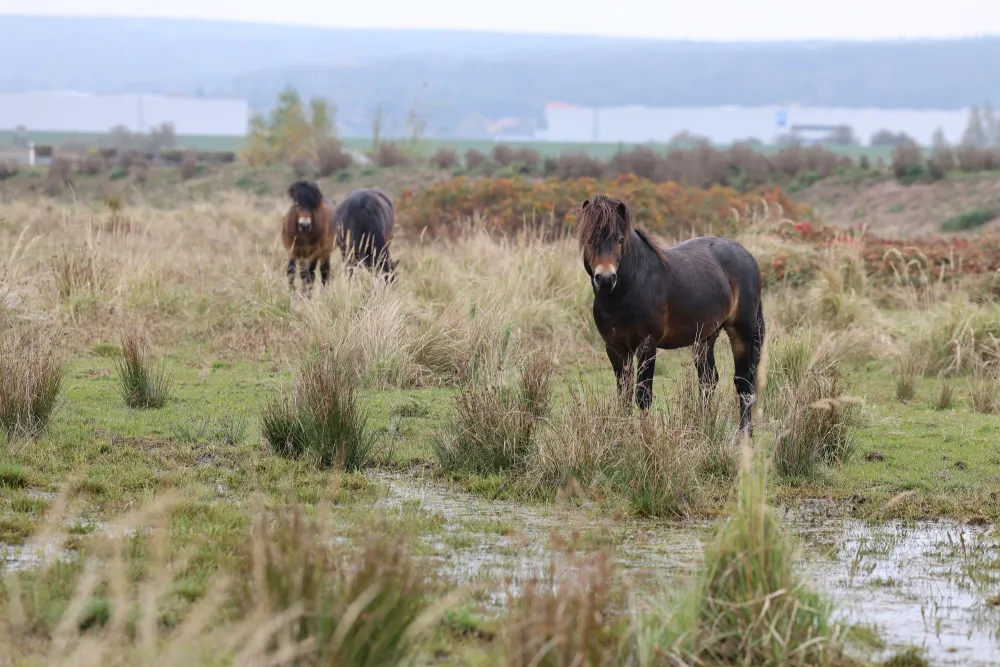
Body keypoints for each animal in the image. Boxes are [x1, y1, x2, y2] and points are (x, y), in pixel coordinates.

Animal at [577, 194, 768, 436]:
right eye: (589, 240)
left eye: (620, 240)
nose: (605, 279)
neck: (629, 288)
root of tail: (747, 256)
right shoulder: (614, 348)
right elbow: (624, 395)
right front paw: (623, 433)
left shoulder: (647, 346)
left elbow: (643, 396)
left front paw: (645, 436)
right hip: (706, 336)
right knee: (708, 380)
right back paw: (701, 426)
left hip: (741, 331)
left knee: (743, 382)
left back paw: (743, 434)